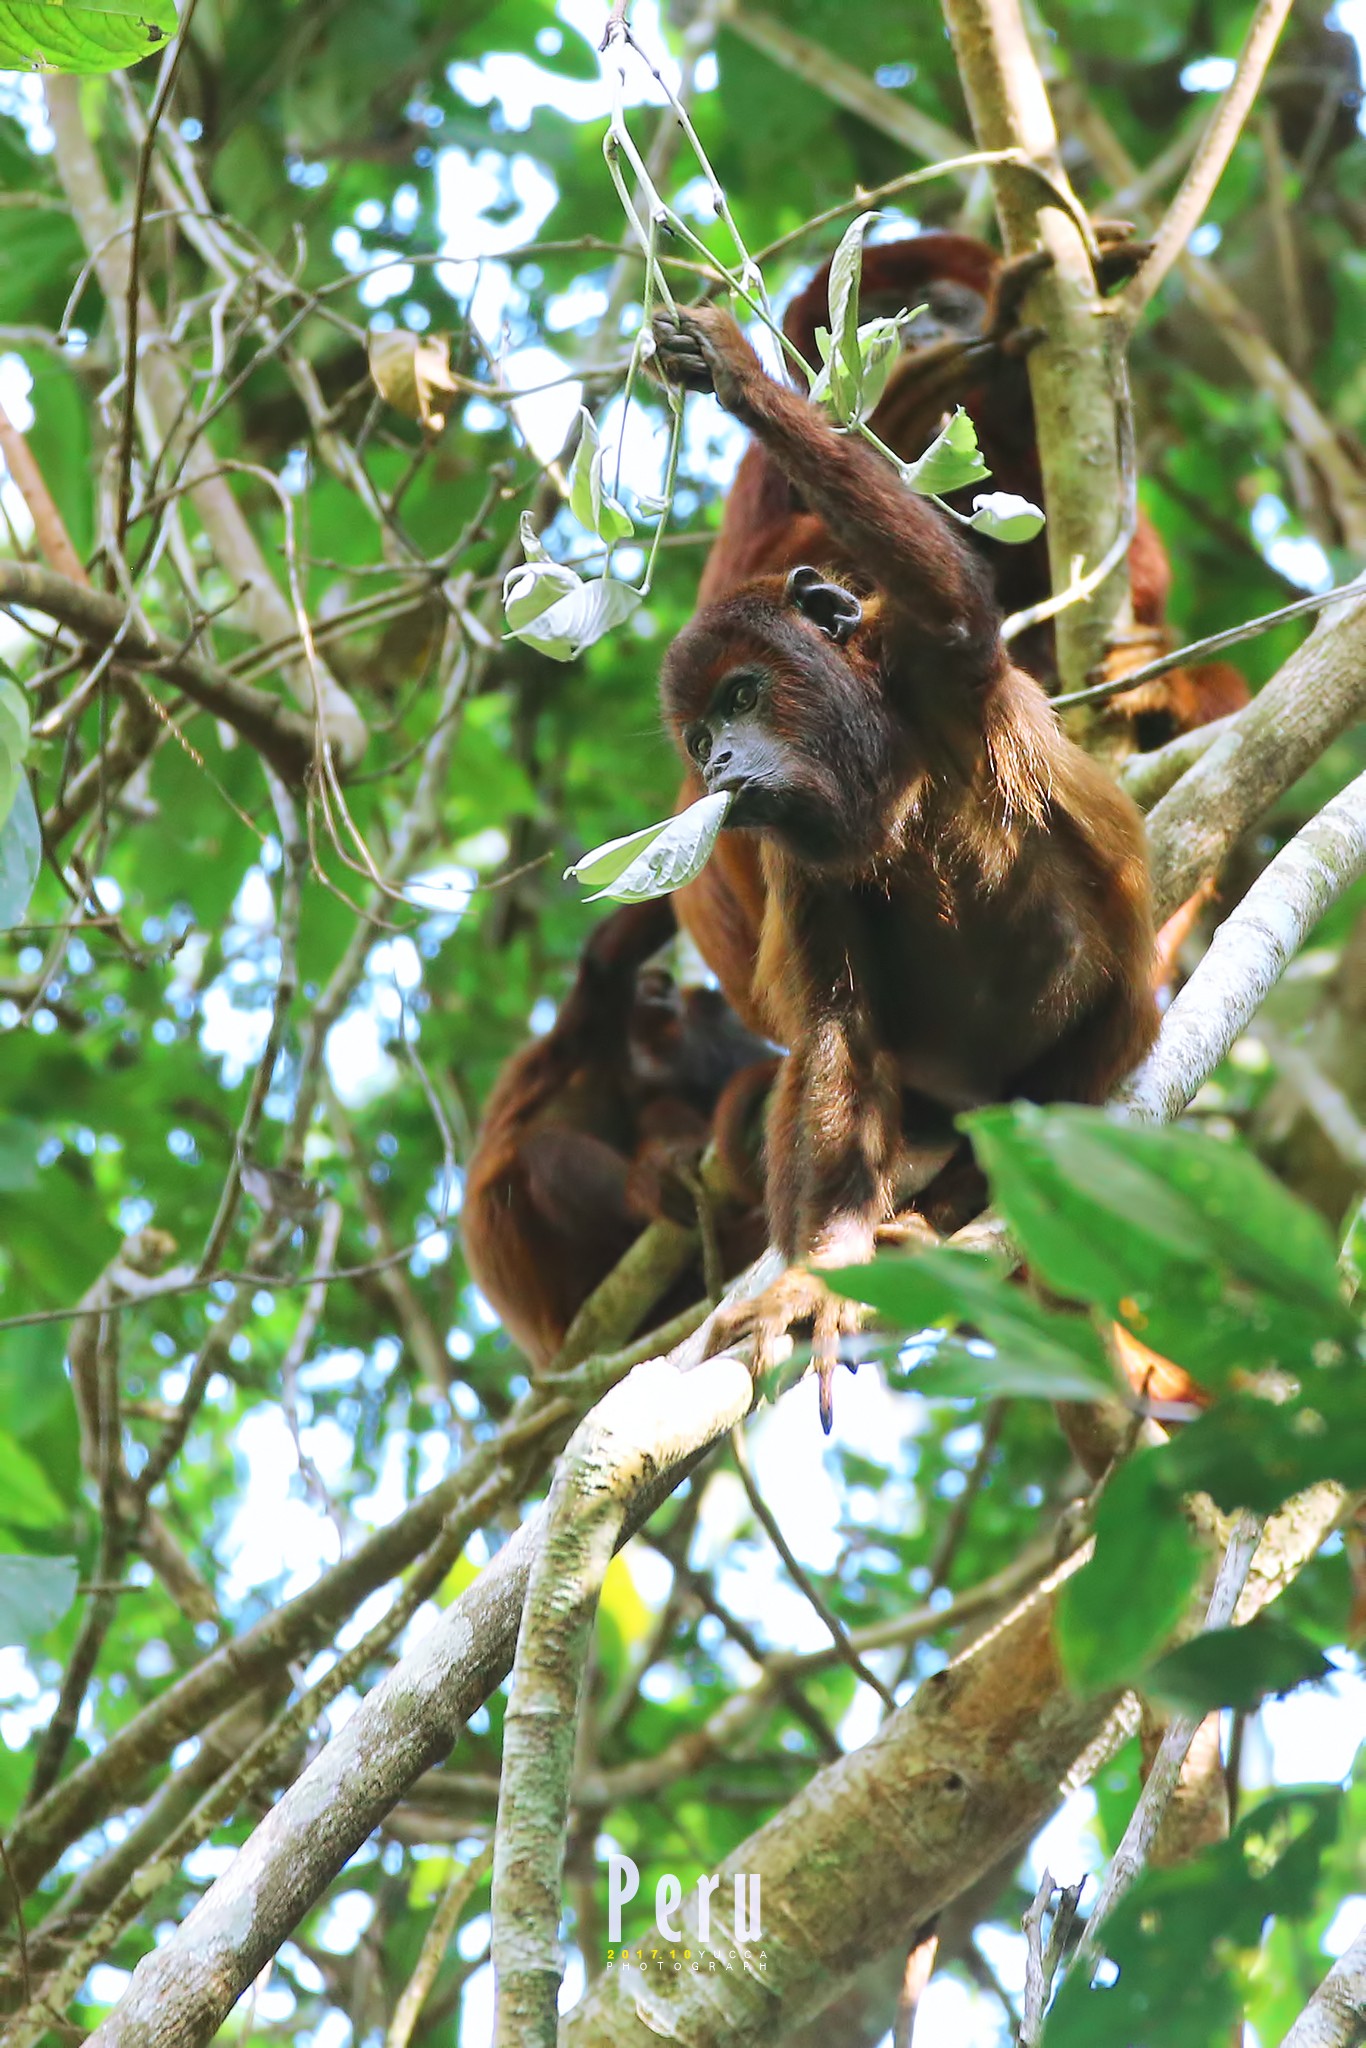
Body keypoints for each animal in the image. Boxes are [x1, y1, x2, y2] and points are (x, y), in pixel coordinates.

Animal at [655, 303, 1163, 1433]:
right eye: (701, 733)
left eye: (743, 696)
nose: (717, 763)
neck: (887, 764)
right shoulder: (798, 862)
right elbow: (840, 1033)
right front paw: (821, 1270)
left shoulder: (937, 663)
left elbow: (949, 588)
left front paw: (736, 375)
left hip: (1103, 1051)